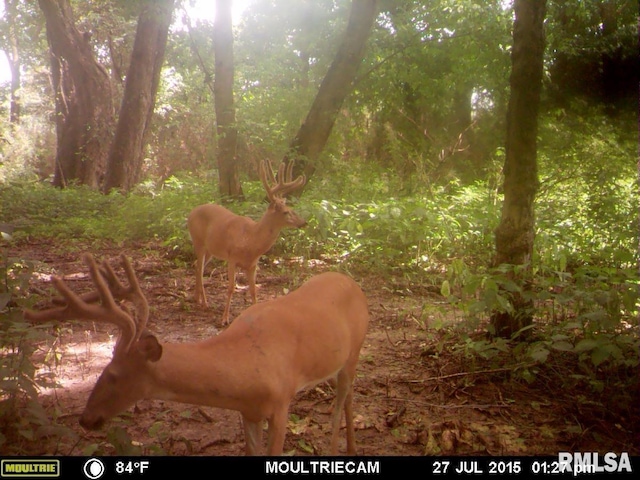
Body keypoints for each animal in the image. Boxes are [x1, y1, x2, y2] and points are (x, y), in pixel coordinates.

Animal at [23, 253, 370, 456]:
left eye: (113, 375)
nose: (86, 418)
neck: (244, 367)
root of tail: (353, 282)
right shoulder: (248, 412)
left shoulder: (282, 402)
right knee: (348, 396)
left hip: (355, 349)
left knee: (343, 398)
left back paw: (340, 449)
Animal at [188, 159, 308, 324]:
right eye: (285, 212)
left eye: (291, 208)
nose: (304, 222)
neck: (252, 241)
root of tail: (191, 213)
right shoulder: (232, 258)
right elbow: (231, 288)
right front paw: (225, 318)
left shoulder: (252, 265)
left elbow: (253, 290)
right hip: (198, 241)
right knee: (200, 270)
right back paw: (205, 303)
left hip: (210, 250)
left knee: (196, 266)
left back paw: (197, 299)